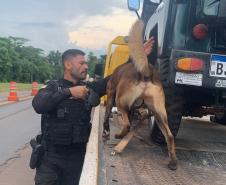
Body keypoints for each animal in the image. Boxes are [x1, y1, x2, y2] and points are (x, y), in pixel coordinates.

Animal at [103, 20, 177, 171]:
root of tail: (146, 72)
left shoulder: (111, 93)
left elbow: (107, 115)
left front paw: (106, 131)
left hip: (120, 101)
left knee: (127, 124)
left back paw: (120, 136)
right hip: (159, 113)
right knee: (170, 135)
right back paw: (173, 162)